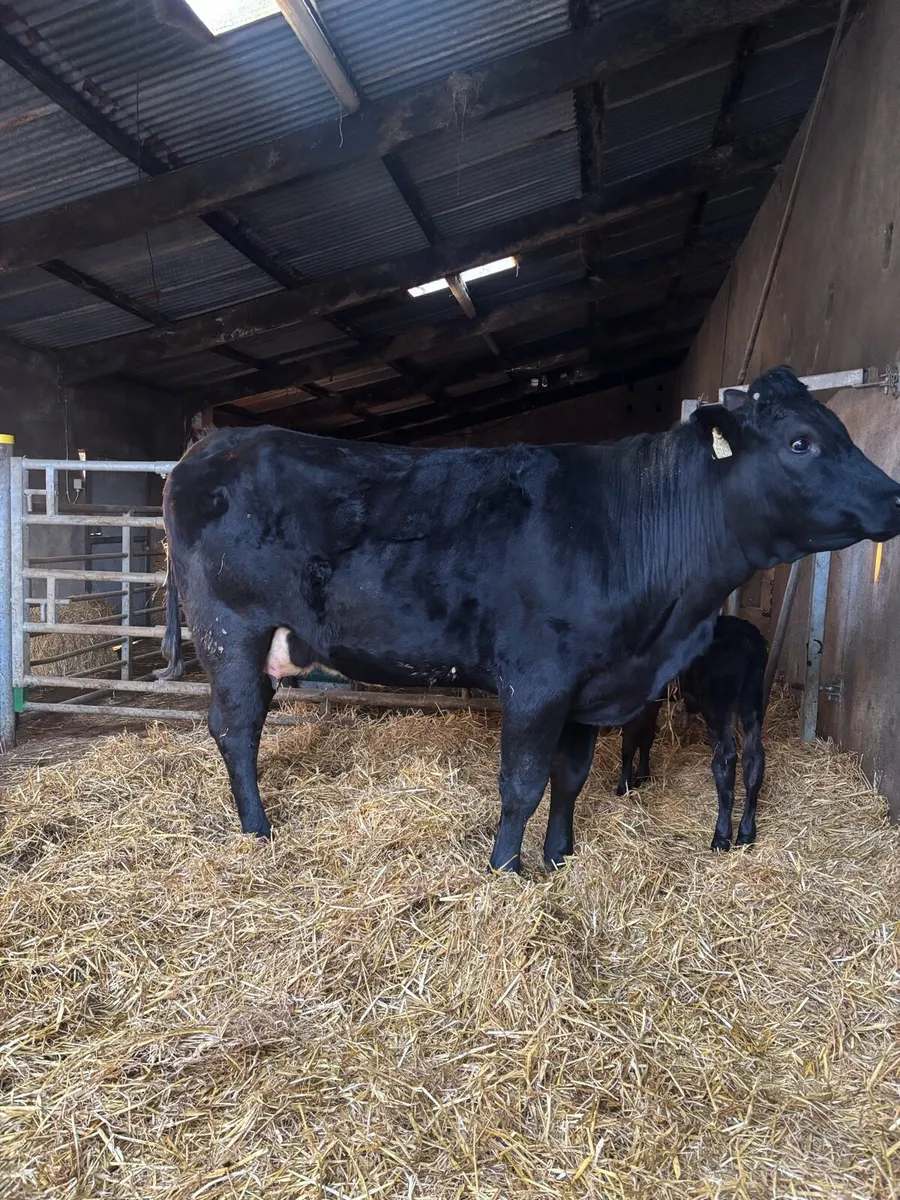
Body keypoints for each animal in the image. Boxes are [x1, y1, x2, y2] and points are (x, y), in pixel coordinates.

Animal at [617, 616, 768, 851]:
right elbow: (646, 738)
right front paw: (642, 776)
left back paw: (721, 836)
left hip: (717, 704)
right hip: (751, 700)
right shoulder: (652, 700)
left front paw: (623, 785)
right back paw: (746, 833)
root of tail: (748, 637)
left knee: (725, 759)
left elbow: (629, 742)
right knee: (754, 758)